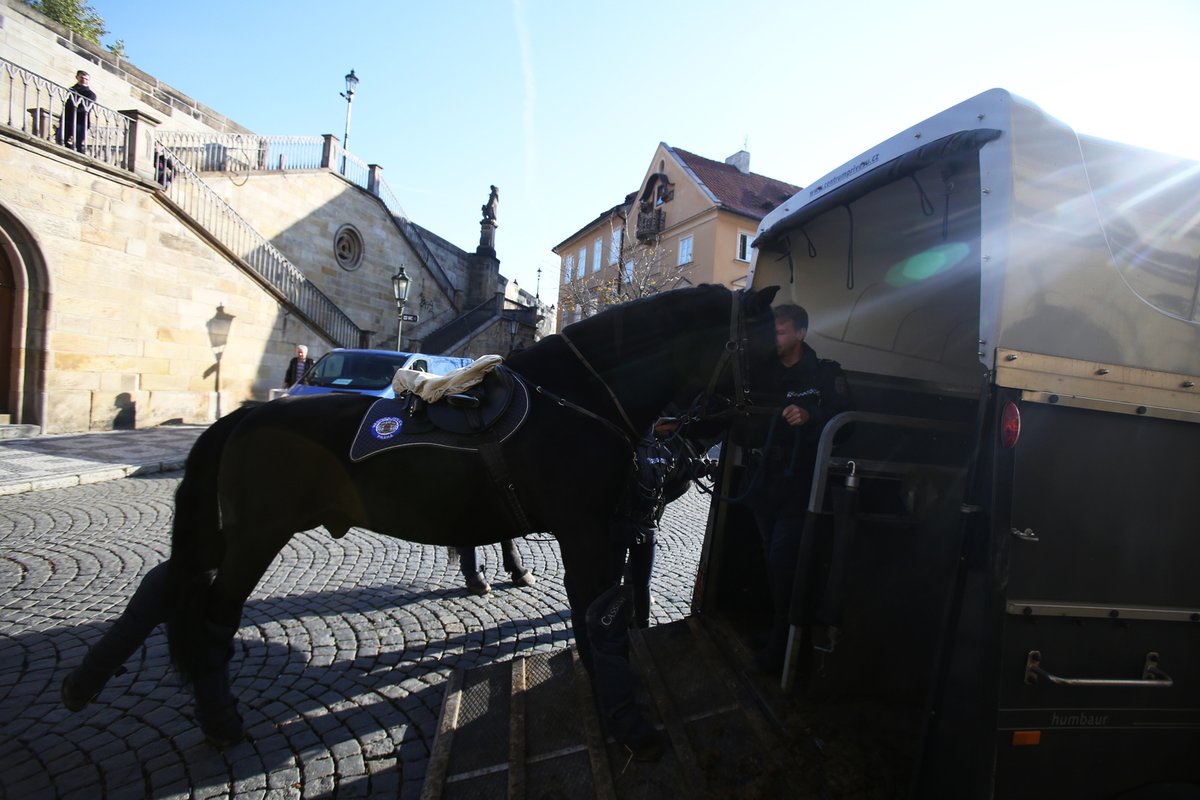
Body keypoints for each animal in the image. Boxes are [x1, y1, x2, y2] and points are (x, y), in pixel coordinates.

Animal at [63, 284, 777, 753]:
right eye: (773, 345)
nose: (781, 410)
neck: (579, 401)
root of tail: (245, 415)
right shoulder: (589, 533)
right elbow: (601, 619)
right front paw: (626, 718)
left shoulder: (599, 533)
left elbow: (593, 617)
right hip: (255, 537)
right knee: (212, 613)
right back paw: (217, 719)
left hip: (228, 533)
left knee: (168, 579)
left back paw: (87, 677)